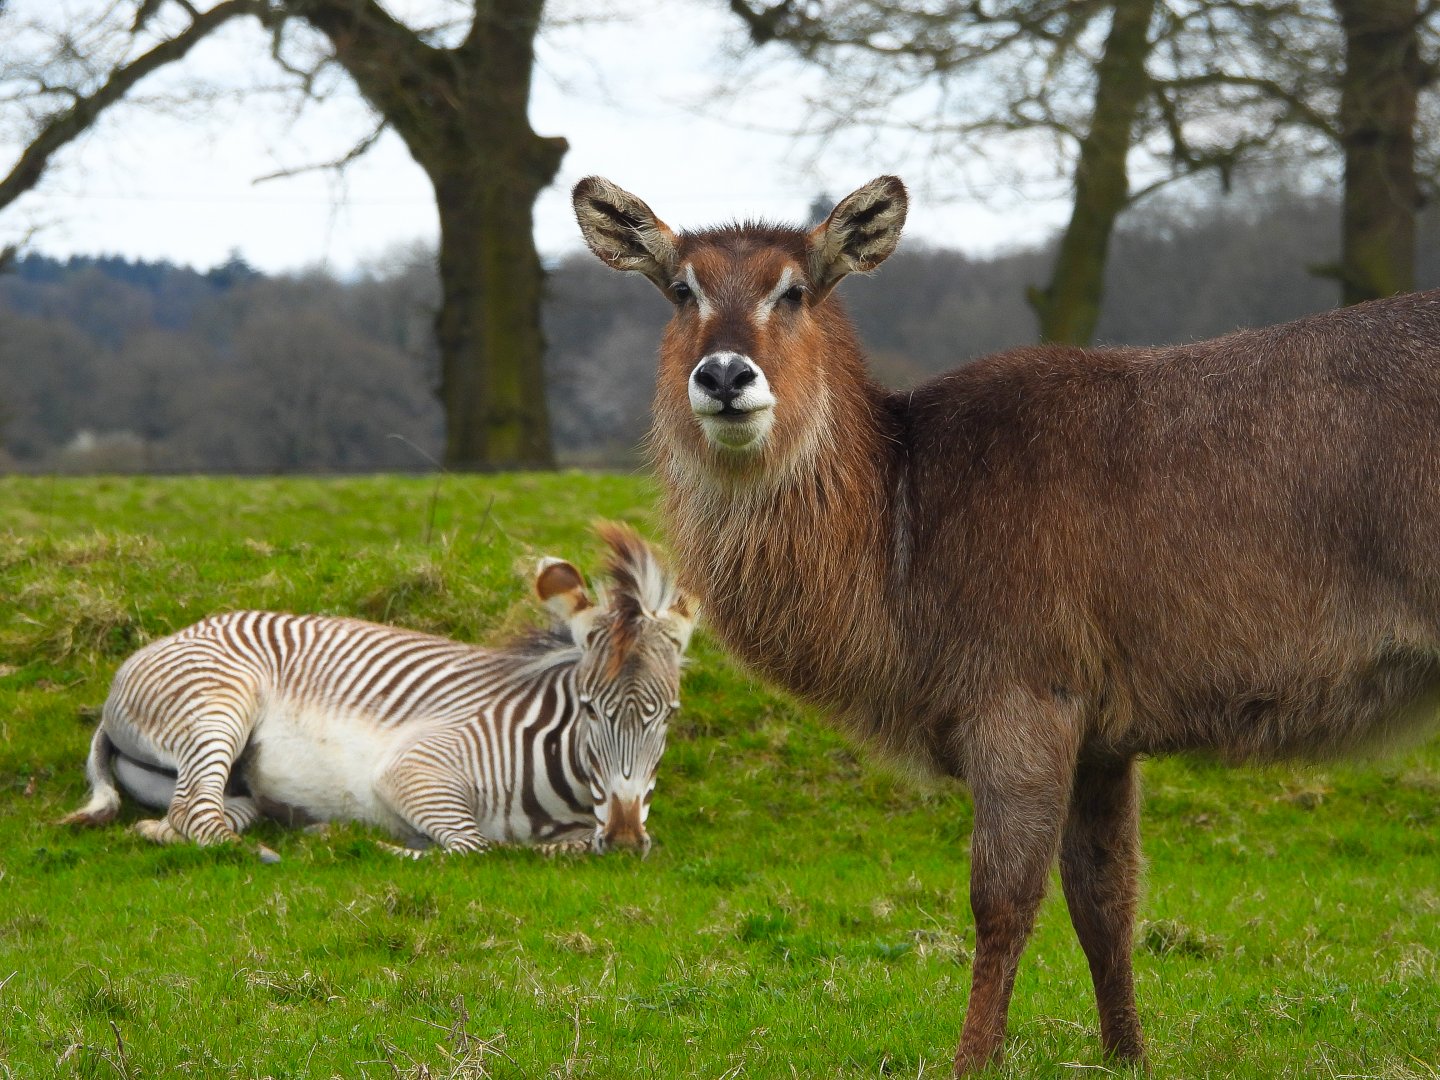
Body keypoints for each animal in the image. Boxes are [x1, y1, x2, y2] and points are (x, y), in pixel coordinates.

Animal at [60, 523, 697, 860]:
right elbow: (476, 847)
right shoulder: (415, 769)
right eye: (589, 710)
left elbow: (561, 846)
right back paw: (267, 848)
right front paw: (366, 843)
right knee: (197, 813)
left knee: (197, 810)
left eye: (667, 716)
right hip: (217, 704)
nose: (623, 839)